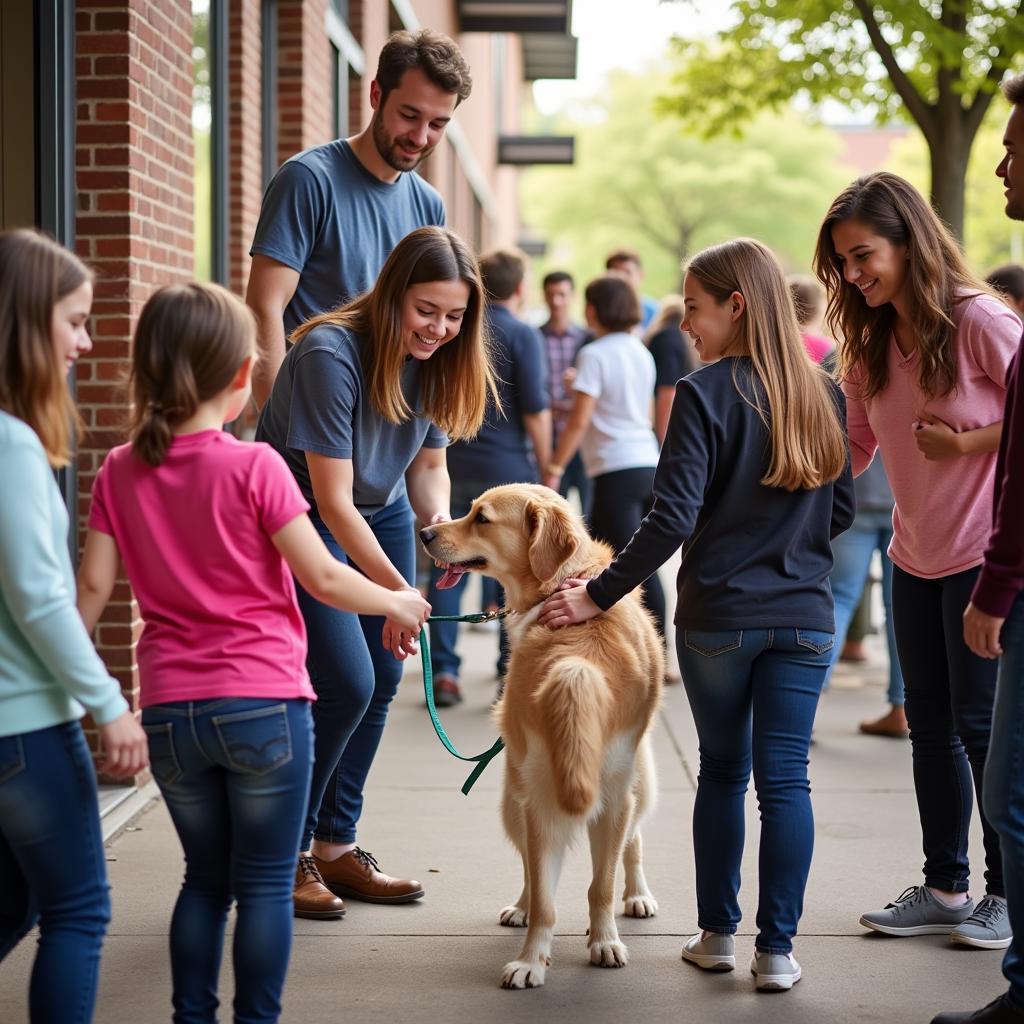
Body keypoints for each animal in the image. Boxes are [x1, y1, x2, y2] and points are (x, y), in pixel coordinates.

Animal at [417, 483, 663, 987]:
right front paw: (533, 959)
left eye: (482, 518)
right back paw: (523, 907)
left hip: (630, 787)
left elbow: (602, 884)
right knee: (533, 875)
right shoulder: (539, 802)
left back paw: (637, 894)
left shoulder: (614, 799)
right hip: (515, 798)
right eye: (469, 510)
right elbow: (546, 894)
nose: (425, 532)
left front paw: (604, 940)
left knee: (631, 844)